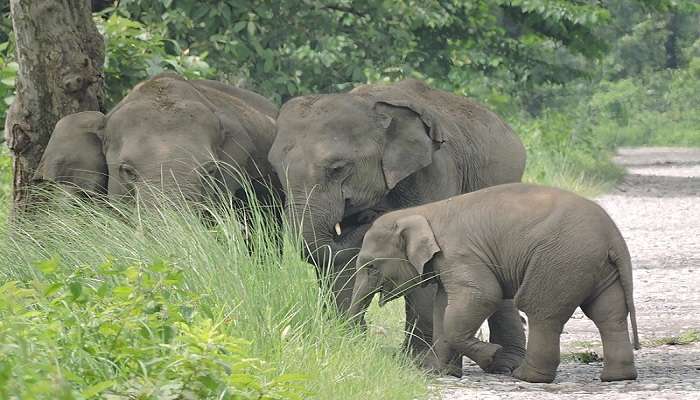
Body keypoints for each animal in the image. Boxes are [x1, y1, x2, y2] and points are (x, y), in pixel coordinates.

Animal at [270, 79, 528, 374]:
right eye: (276, 171)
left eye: (337, 169)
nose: (370, 217)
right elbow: (340, 259)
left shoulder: (434, 171)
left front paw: (419, 363)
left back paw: (506, 365)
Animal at [350, 183, 640, 382]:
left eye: (371, 267)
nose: (363, 334)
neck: (421, 212)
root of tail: (613, 237)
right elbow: (443, 307)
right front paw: (439, 373)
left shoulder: (459, 253)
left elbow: (484, 295)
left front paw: (492, 355)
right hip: (596, 267)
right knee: (608, 314)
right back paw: (616, 377)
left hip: (561, 261)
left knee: (541, 311)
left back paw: (525, 377)